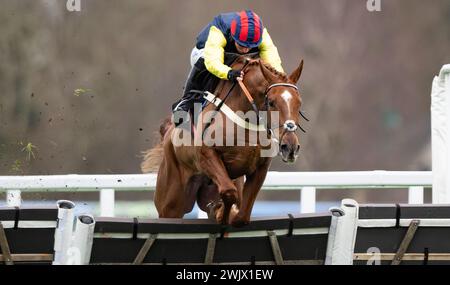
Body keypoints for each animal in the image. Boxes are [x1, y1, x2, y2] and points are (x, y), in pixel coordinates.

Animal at [142, 55, 304, 226]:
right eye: (271, 102)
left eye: (299, 103)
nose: (290, 147)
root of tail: (168, 133)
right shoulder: (206, 155)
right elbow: (229, 192)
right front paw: (221, 215)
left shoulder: (260, 167)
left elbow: (242, 214)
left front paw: (224, 213)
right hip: (171, 202)